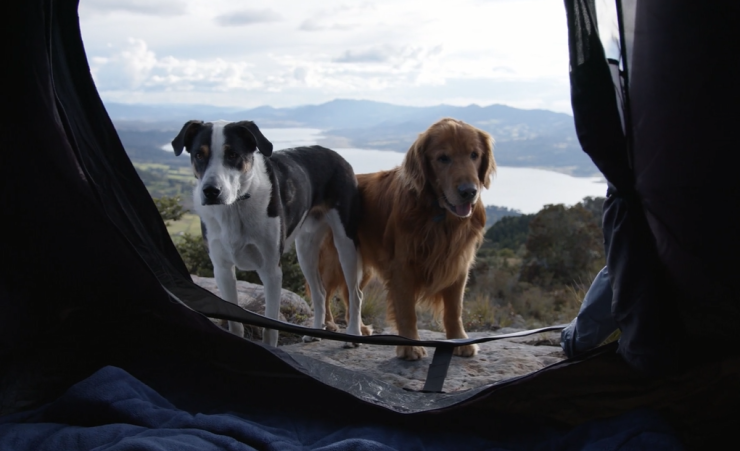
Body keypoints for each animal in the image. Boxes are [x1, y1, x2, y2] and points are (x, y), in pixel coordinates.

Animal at [168, 120, 364, 346]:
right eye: (199, 155)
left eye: (232, 154)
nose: (210, 191)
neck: (236, 206)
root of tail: (337, 155)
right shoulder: (222, 269)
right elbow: (235, 322)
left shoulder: (270, 271)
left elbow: (271, 327)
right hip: (305, 249)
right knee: (320, 292)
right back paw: (315, 332)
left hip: (345, 244)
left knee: (355, 293)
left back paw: (353, 335)